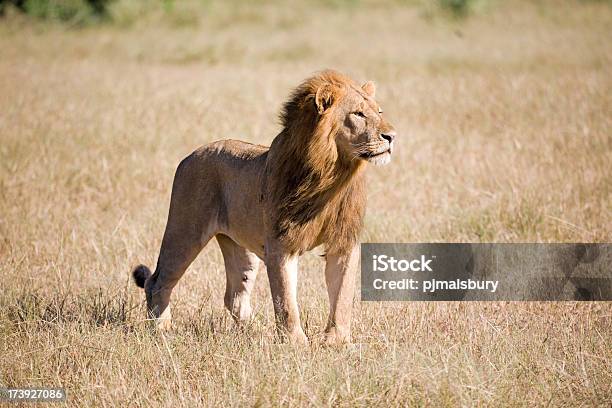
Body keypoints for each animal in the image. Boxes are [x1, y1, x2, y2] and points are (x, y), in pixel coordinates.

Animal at [133, 70, 396, 344]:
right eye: (358, 114)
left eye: (379, 111)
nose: (392, 136)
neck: (332, 173)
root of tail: (189, 156)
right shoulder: (281, 244)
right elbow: (286, 300)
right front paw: (296, 343)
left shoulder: (344, 241)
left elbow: (342, 295)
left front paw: (336, 340)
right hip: (185, 232)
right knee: (158, 281)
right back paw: (162, 328)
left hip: (240, 250)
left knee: (234, 295)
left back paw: (254, 332)